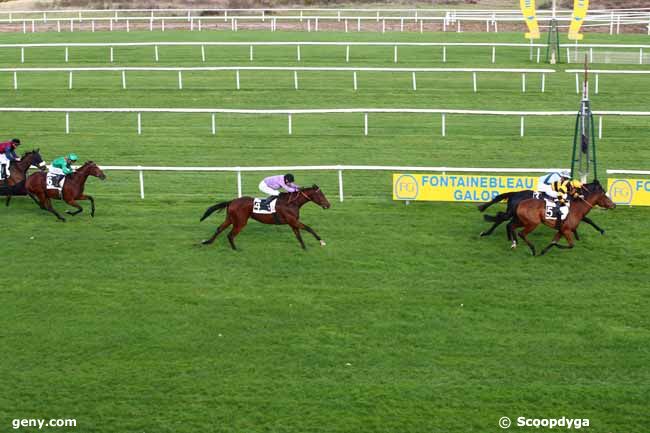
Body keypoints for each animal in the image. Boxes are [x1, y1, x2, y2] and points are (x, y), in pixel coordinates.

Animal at [200, 186, 330, 250]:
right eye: (320, 194)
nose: (328, 205)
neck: (292, 203)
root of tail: (231, 201)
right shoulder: (293, 220)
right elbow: (309, 228)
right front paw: (322, 242)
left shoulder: (292, 223)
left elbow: (298, 236)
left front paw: (304, 248)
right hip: (241, 222)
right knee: (230, 234)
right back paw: (236, 249)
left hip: (230, 219)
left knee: (219, 229)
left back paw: (207, 241)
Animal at [476, 190, 604, 240]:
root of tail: (515, 193)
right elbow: (588, 220)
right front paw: (601, 230)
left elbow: (586, 220)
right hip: (512, 212)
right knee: (501, 218)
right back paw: (488, 233)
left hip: (512, 212)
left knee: (501, 218)